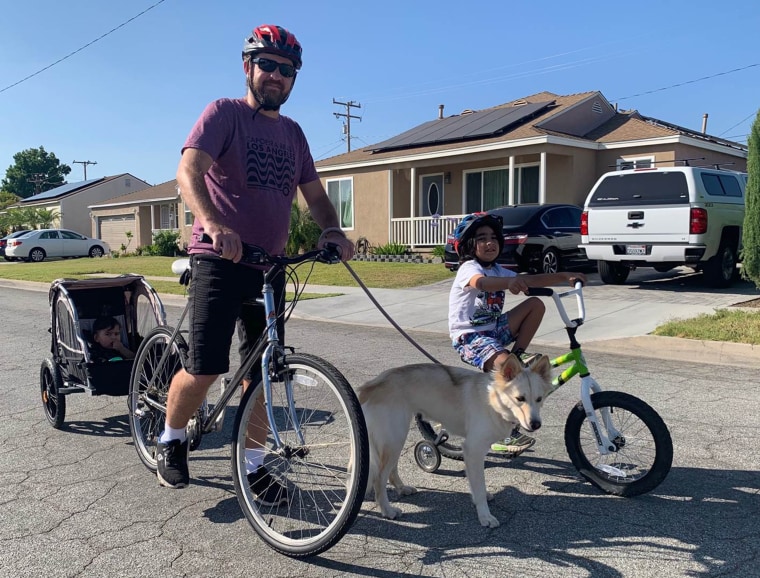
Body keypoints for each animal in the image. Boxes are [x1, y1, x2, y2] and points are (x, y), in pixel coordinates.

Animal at [356, 352, 552, 528]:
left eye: (539, 399)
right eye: (520, 398)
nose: (536, 424)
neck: (492, 401)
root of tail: (370, 386)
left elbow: (476, 483)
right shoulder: (473, 450)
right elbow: (479, 486)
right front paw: (485, 516)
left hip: (396, 438)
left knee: (391, 469)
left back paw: (401, 489)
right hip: (394, 438)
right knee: (379, 478)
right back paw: (387, 510)